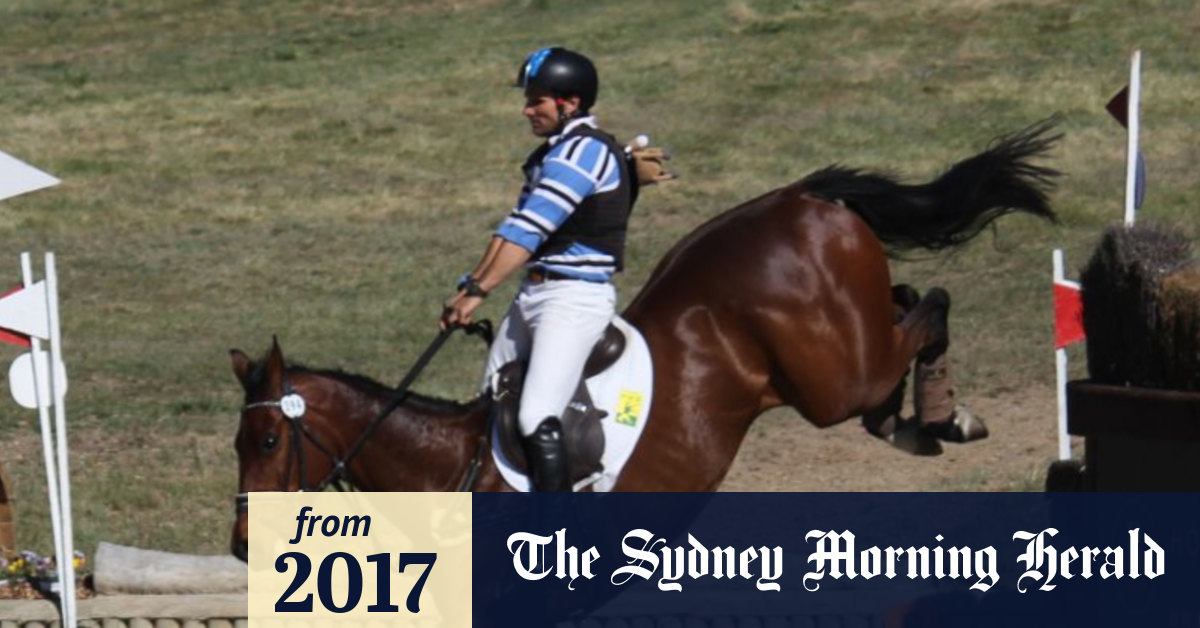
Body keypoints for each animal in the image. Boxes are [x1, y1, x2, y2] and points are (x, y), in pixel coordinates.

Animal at [229, 121, 1056, 559]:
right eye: (238, 446)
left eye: (267, 443)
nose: (240, 543)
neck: (445, 473)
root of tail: (801, 196)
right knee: (910, 306)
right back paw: (917, 420)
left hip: (832, 378)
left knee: (926, 312)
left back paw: (942, 415)